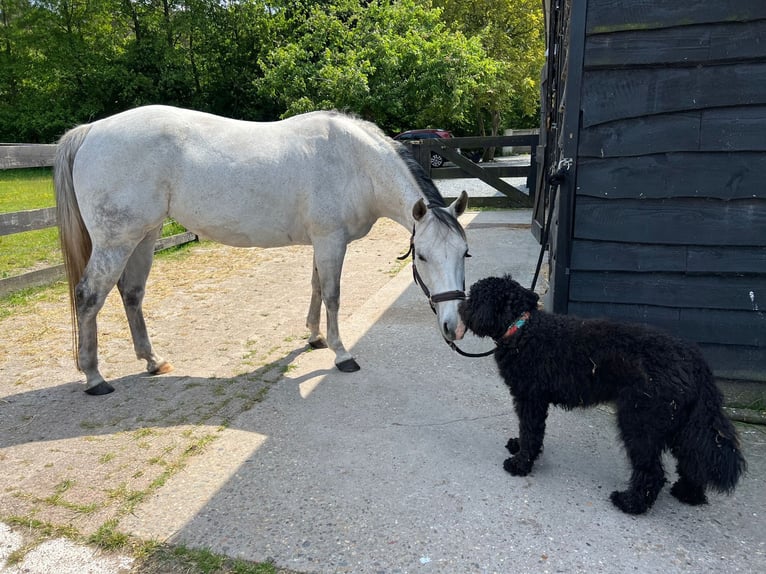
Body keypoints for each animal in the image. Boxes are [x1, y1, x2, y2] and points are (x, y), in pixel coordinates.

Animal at [54, 105, 469, 395]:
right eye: (422, 257)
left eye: (464, 254)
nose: (454, 327)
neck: (355, 163)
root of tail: (90, 131)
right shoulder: (331, 240)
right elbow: (333, 295)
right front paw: (341, 353)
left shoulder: (322, 242)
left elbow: (316, 289)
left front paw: (315, 338)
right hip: (116, 241)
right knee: (89, 296)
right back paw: (94, 377)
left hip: (143, 236)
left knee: (132, 293)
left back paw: (153, 362)